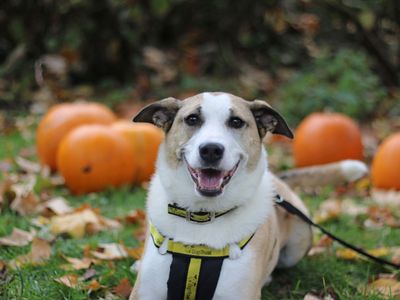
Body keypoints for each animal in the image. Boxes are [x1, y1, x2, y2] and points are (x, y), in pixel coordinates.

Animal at [130, 92, 368, 298]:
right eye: (192, 119)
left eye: (236, 122)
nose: (211, 150)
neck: (203, 215)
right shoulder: (144, 293)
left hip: (300, 240)